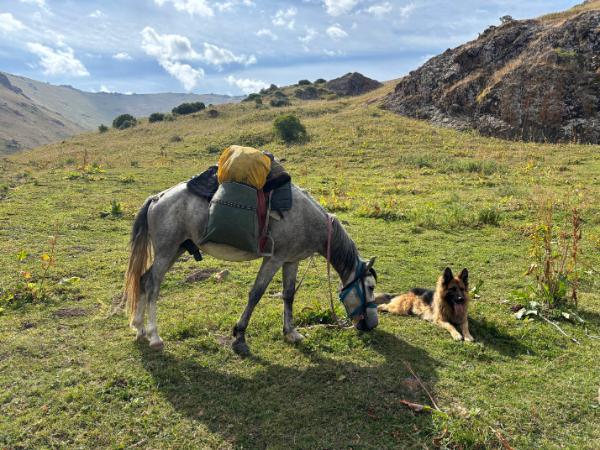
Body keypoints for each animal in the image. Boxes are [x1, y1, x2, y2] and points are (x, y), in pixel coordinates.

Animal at [124, 183, 380, 356]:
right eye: (369, 287)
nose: (372, 325)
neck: (307, 220)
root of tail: (157, 198)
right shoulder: (274, 260)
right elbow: (256, 294)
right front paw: (239, 336)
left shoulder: (291, 260)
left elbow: (289, 295)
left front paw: (291, 332)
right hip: (166, 250)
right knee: (153, 284)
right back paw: (154, 336)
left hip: (177, 249)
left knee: (143, 279)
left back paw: (139, 328)